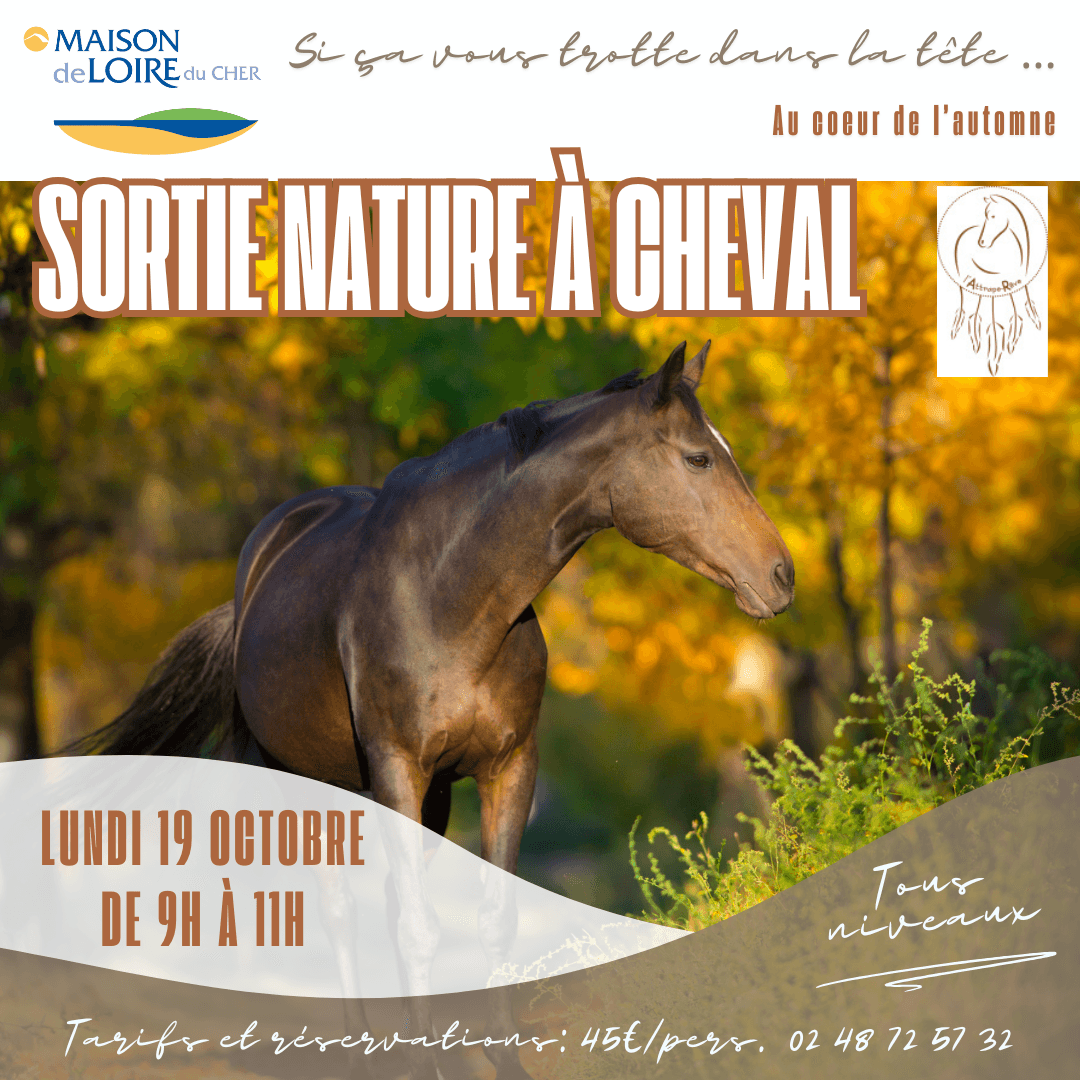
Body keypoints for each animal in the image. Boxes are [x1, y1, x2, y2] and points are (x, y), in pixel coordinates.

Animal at [68, 339, 794, 1077]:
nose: (781, 576)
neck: (450, 596)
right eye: (698, 458)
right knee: (335, 909)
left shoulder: (507, 768)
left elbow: (490, 918)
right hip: (302, 776)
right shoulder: (397, 766)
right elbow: (416, 926)